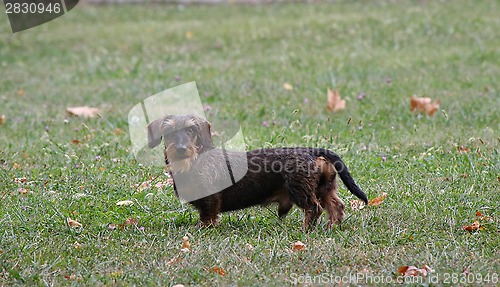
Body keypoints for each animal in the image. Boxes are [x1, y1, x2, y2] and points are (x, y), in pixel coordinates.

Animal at [146, 116, 366, 231]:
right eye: (169, 132)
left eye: (191, 130)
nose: (181, 149)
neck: (193, 162)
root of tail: (311, 151)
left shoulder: (210, 200)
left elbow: (207, 217)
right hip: (325, 188)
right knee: (336, 206)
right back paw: (332, 227)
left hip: (300, 190)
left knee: (314, 208)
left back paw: (306, 230)